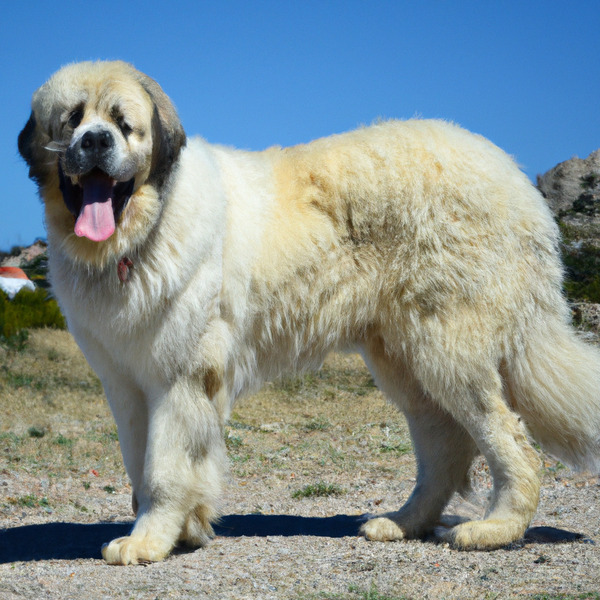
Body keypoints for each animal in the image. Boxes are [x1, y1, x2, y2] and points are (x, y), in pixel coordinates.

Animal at [18, 59, 600, 564]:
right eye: (72, 118)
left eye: (124, 125)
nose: (95, 141)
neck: (141, 233)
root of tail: (514, 176)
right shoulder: (126, 383)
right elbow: (140, 468)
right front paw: (182, 530)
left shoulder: (179, 378)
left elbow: (163, 471)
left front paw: (148, 541)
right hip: (403, 359)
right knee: (445, 442)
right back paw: (404, 522)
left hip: (446, 346)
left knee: (510, 439)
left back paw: (496, 529)